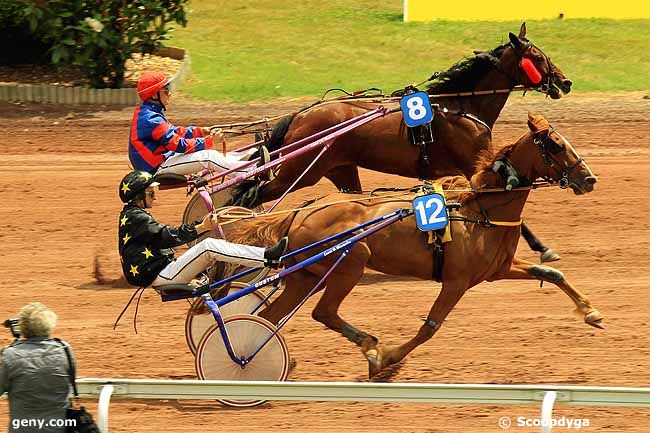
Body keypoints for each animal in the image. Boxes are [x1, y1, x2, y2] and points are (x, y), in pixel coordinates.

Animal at [223, 113, 596, 376]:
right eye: (556, 145)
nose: (589, 178)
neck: (480, 209)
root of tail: (300, 211)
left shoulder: (497, 269)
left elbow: (552, 273)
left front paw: (590, 311)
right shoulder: (456, 281)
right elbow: (430, 326)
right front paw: (387, 359)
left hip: (308, 276)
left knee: (270, 317)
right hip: (348, 263)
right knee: (322, 312)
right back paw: (367, 347)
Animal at [234, 23, 572, 262]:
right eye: (537, 57)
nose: (566, 82)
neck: (461, 105)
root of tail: (299, 115)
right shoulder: (474, 164)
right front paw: (543, 248)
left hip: (340, 170)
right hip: (301, 170)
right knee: (251, 197)